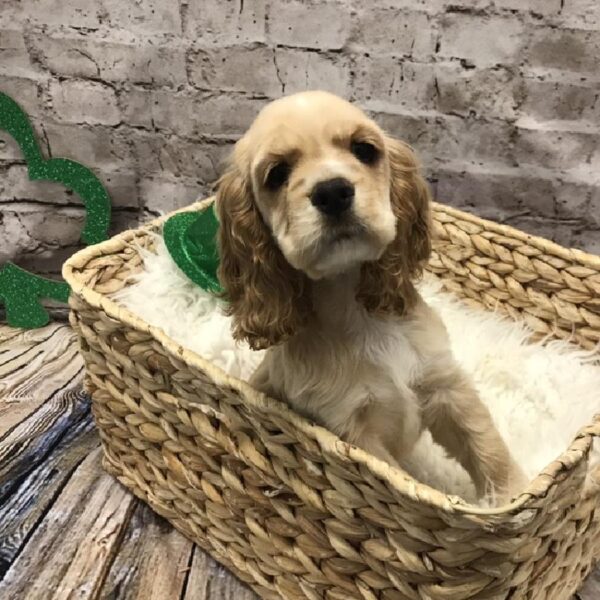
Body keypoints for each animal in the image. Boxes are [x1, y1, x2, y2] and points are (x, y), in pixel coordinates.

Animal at [217, 90, 524, 502]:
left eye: (364, 150)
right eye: (277, 174)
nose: (332, 192)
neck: (352, 304)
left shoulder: (444, 385)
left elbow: (486, 445)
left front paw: (510, 499)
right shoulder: (351, 429)